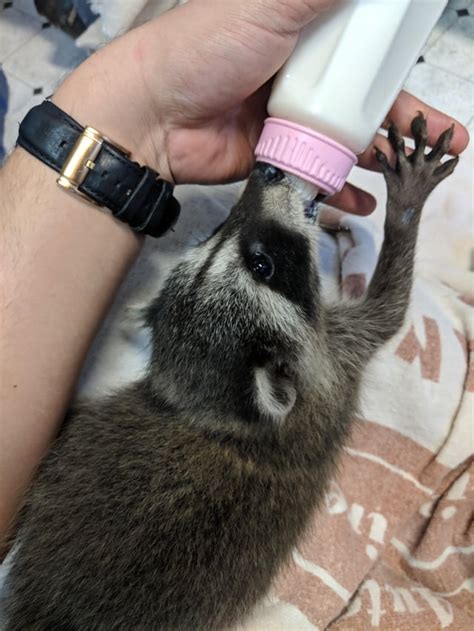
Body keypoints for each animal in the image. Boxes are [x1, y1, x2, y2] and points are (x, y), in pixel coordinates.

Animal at [1, 116, 458, 628]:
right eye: (262, 264)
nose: (265, 171)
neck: (218, 413)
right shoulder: (336, 358)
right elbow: (391, 307)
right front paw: (406, 207)